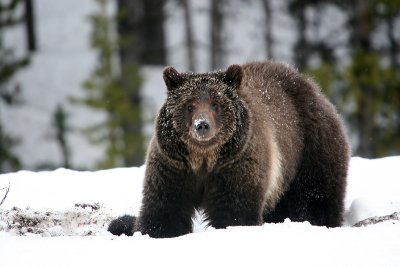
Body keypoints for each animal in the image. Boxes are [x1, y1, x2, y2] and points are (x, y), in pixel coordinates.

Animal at [108, 61, 348, 240]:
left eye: (216, 103)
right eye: (189, 105)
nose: (202, 125)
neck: (204, 160)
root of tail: (310, 84)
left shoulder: (237, 165)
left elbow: (235, 211)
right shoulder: (173, 167)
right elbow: (164, 208)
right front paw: (149, 230)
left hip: (313, 143)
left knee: (316, 193)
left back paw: (318, 222)